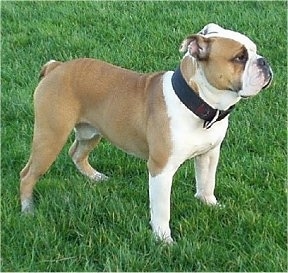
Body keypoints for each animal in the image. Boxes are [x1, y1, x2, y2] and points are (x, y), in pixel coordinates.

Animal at [19, 22, 272, 241]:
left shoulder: (209, 155)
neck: (196, 102)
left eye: (254, 51)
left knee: (76, 153)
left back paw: (95, 177)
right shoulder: (161, 169)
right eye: (240, 58)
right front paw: (163, 240)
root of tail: (56, 67)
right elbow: (161, 210)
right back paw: (28, 208)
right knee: (28, 174)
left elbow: (206, 183)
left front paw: (209, 203)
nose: (265, 62)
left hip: (91, 132)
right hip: (50, 136)